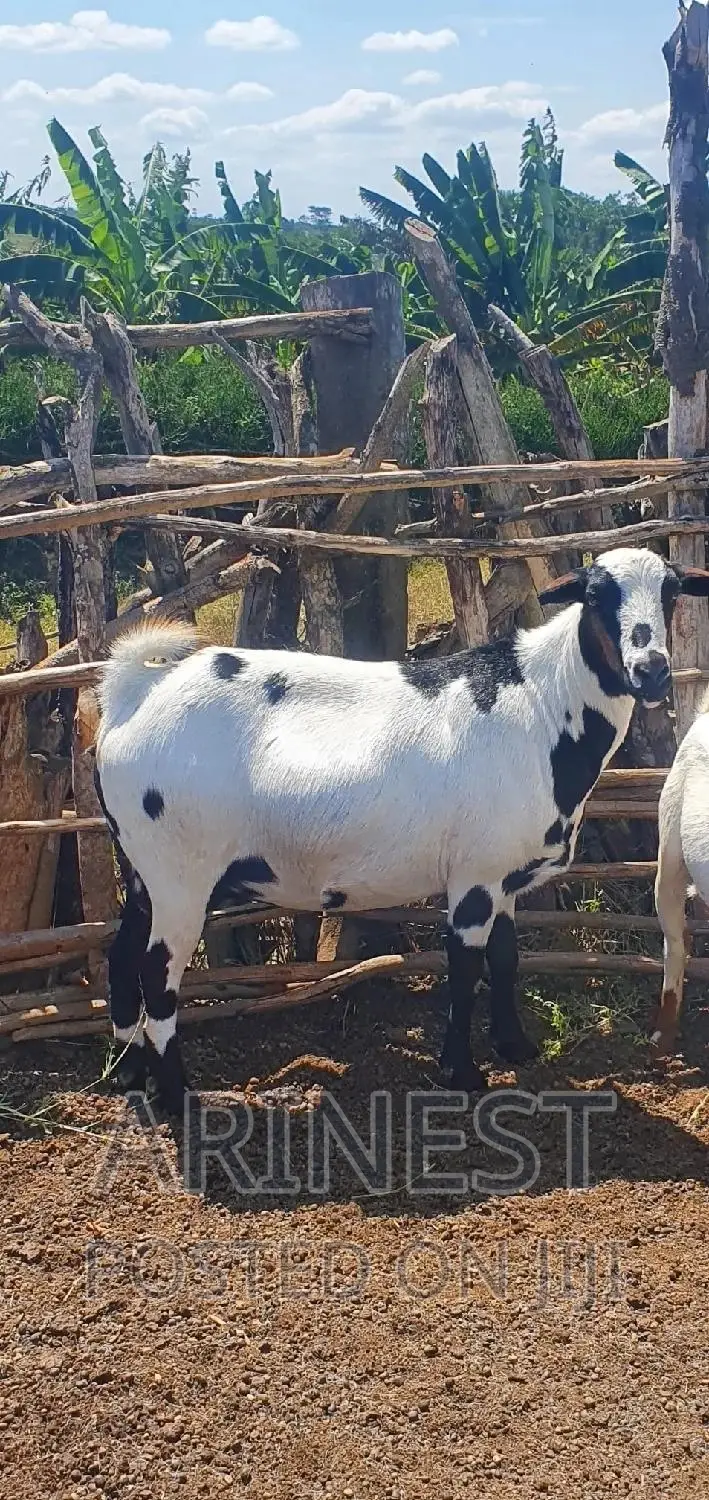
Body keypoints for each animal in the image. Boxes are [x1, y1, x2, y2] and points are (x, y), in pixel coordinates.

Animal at [95, 547, 709, 1112]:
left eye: (671, 591)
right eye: (597, 596)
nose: (651, 670)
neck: (541, 706)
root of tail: (133, 694)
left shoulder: (504, 876)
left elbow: (506, 958)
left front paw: (515, 1046)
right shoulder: (474, 878)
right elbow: (464, 968)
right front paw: (462, 1072)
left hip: (143, 867)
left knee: (121, 954)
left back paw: (128, 1073)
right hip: (180, 871)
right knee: (156, 972)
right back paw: (175, 1096)